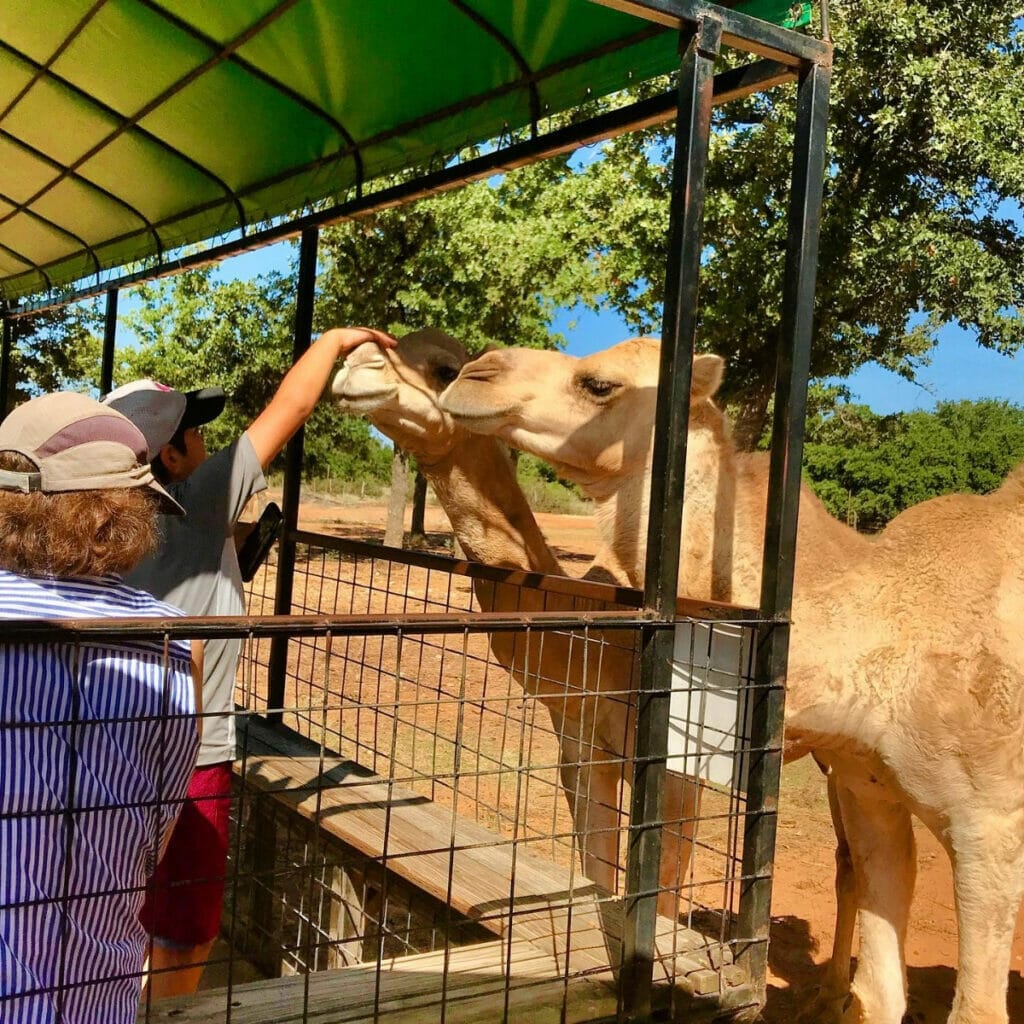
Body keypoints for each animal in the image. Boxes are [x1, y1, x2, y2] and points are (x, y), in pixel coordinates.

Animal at [440, 339, 1024, 1024]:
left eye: (599, 384)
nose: (473, 373)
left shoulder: (991, 822)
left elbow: (976, 1009)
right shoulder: (870, 787)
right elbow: (879, 992)